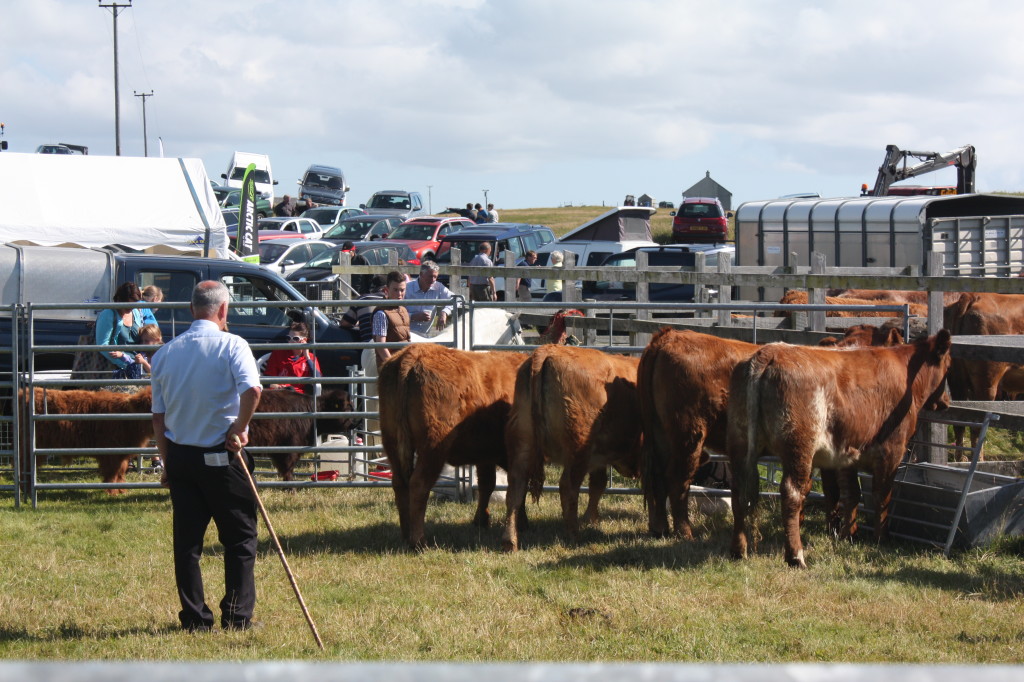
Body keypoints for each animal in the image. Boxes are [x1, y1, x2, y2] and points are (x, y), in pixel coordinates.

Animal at [378, 342, 528, 548]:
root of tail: (411, 354)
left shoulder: (485, 455)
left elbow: (487, 484)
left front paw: (481, 520)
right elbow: (519, 489)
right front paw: (523, 522)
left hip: (391, 442)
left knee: (400, 484)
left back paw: (406, 535)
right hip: (433, 448)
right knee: (419, 485)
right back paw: (419, 541)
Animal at [501, 346, 638, 548]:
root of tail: (546, 351)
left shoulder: (599, 459)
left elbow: (598, 484)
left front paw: (590, 519)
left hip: (522, 443)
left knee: (515, 488)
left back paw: (510, 541)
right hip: (578, 450)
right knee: (568, 486)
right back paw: (574, 535)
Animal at [638, 327, 761, 540]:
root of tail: (670, 336)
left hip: (660, 433)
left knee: (657, 477)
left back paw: (659, 528)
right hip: (689, 435)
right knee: (677, 480)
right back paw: (685, 532)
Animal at [729, 331, 950, 565]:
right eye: (948, 365)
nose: (946, 401)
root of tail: (768, 352)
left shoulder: (845, 455)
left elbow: (851, 493)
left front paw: (848, 535)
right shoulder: (892, 452)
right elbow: (882, 495)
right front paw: (881, 538)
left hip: (739, 443)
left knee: (739, 492)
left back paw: (738, 550)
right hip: (798, 449)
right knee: (791, 493)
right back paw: (796, 555)